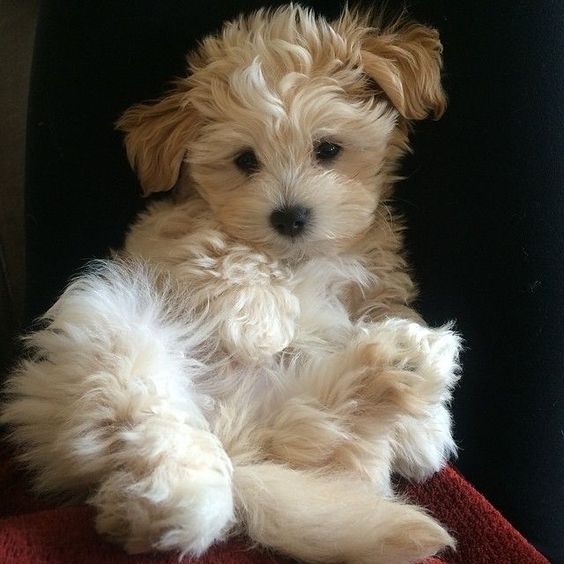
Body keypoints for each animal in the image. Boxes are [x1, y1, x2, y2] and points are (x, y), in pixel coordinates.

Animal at [1, 5, 462, 564]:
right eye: (245, 160)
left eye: (328, 149)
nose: (289, 216)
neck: (299, 258)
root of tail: (235, 429)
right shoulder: (162, 237)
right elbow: (220, 247)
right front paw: (263, 324)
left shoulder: (376, 278)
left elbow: (384, 307)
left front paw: (426, 431)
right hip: (109, 325)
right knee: (156, 430)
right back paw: (176, 498)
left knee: (305, 431)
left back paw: (404, 365)